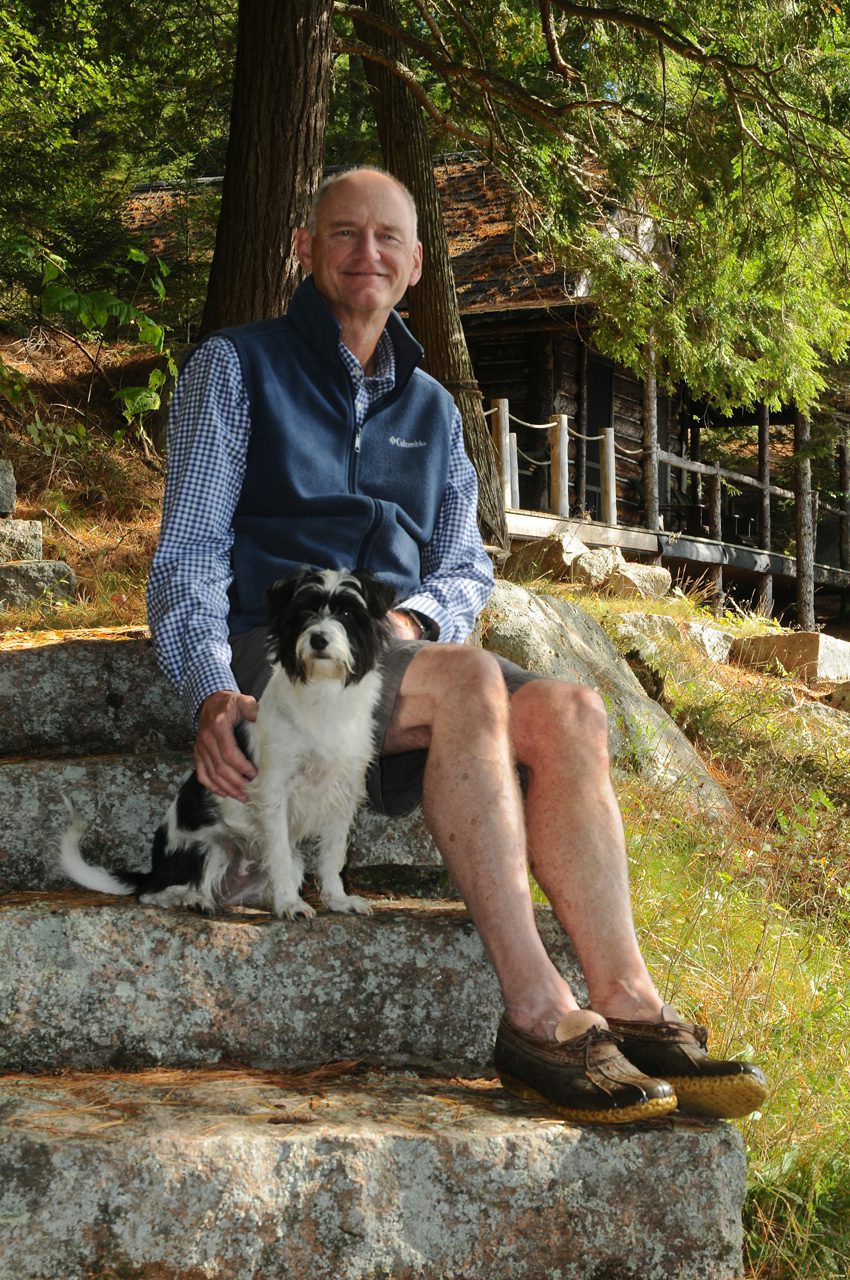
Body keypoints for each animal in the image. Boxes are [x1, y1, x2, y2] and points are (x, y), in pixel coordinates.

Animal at [60, 570, 399, 921]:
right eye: (304, 612)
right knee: (156, 893)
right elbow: (279, 854)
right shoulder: (274, 793)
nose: (318, 639)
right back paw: (194, 899)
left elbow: (333, 855)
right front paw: (290, 905)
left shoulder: (343, 794)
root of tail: (154, 871)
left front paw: (336, 899)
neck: (323, 692)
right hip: (211, 847)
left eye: (346, 613)